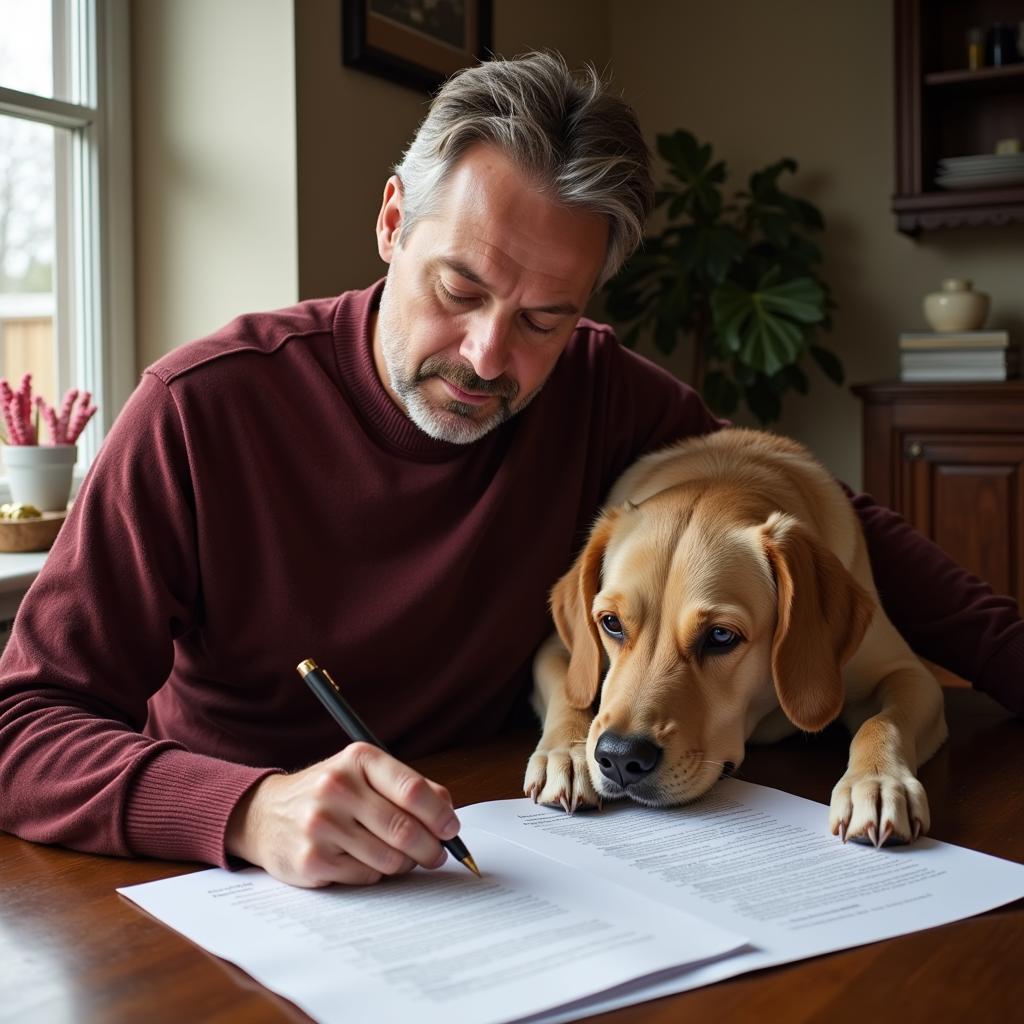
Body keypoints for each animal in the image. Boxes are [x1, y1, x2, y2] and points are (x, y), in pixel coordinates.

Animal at [528, 428, 950, 843]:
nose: (618, 757)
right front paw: (566, 754)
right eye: (611, 623)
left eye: (719, 636)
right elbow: (569, 691)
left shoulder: (909, 674)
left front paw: (878, 781)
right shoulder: (557, 650)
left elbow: (881, 722)